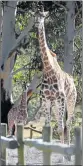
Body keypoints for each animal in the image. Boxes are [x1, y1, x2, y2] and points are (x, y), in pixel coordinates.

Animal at [34, 8, 77, 145]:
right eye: (34, 15)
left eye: (43, 16)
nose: (37, 23)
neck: (48, 70)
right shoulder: (45, 99)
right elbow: (48, 128)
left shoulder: (60, 98)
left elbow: (60, 128)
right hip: (56, 105)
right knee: (62, 124)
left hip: (70, 100)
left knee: (67, 124)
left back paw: (67, 147)